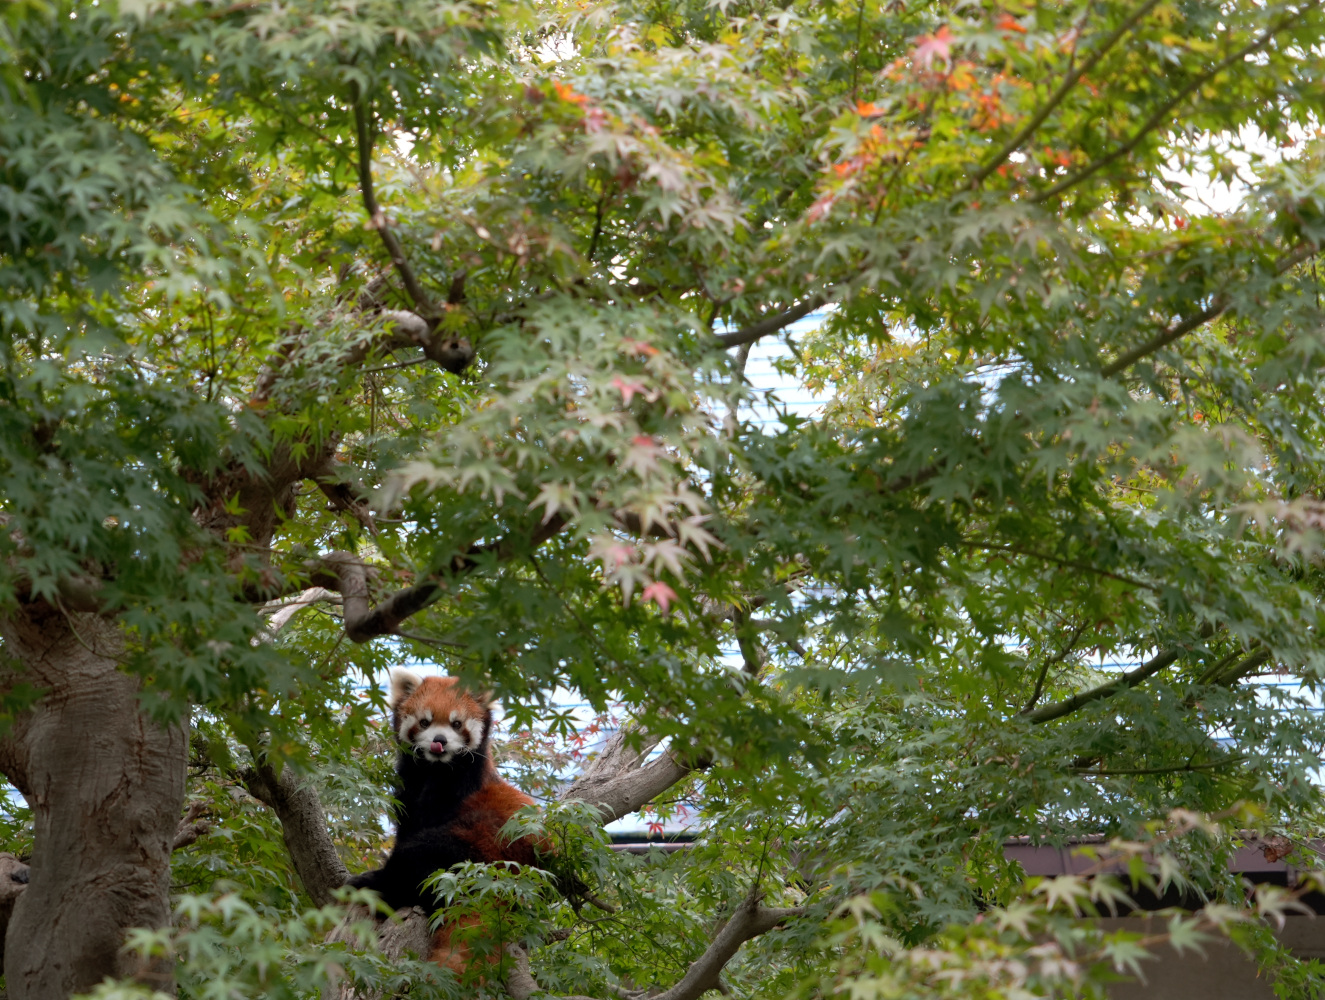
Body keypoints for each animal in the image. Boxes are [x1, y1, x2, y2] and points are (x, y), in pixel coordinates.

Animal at [349, 672, 545, 969]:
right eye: (425, 722)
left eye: (456, 723)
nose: (439, 740)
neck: (435, 769)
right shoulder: (408, 786)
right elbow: (407, 825)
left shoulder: (461, 785)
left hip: (480, 848)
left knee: (419, 858)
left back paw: (378, 886)